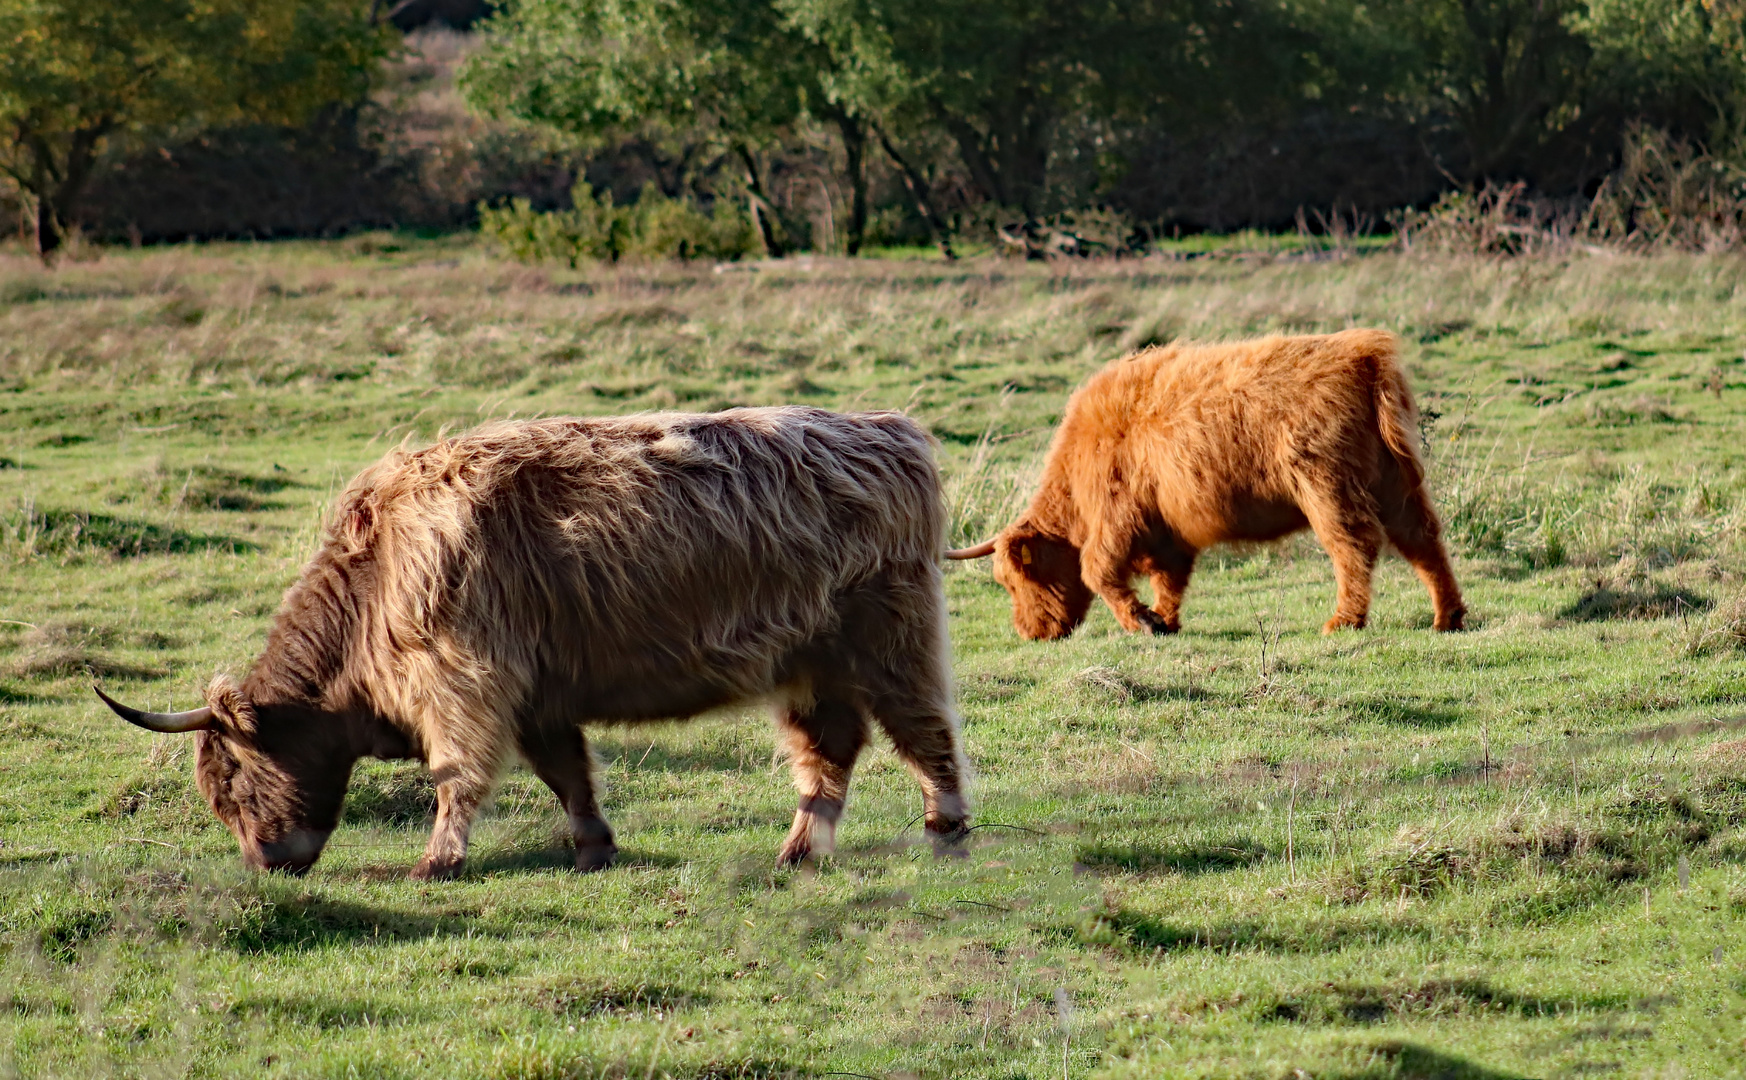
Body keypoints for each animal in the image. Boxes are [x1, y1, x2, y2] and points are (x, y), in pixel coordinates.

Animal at [95, 408, 977, 879]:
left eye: (231, 782)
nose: (266, 864)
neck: (374, 585)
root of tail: (889, 431)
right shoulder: (537, 695)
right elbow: (566, 773)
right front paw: (593, 847)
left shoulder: (465, 683)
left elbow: (456, 776)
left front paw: (438, 861)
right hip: (808, 664)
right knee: (830, 749)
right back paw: (799, 849)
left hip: (891, 641)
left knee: (924, 730)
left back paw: (944, 827)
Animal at [949, 324, 1466, 638]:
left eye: (1014, 582)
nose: (1029, 633)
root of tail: (1362, 352)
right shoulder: (1163, 533)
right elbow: (1169, 578)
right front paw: (1164, 620)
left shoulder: (1116, 516)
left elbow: (1098, 570)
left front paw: (1141, 622)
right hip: (1393, 484)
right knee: (1423, 540)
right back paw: (1448, 617)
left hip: (1327, 485)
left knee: (1355, 546)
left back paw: (1344, 620)